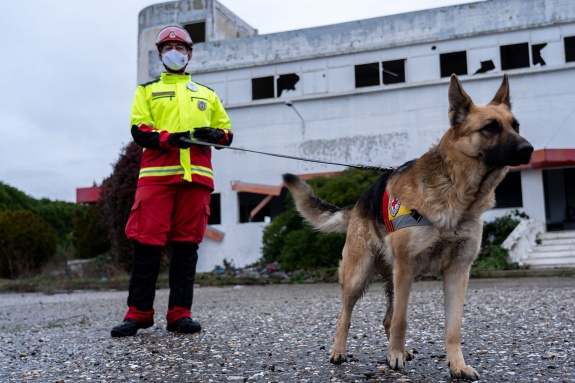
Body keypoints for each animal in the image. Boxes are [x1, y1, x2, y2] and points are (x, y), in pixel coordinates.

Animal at [284, 75, 536, 380]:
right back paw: (340, 351)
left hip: (394, 277)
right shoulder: (405, 267)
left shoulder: (458, 272)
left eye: (516, 126)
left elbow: (453, 327)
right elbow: (402, 319)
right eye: (490, 127)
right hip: (361, 274)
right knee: (348, 314)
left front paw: (456, 365)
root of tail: (359, 201)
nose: (528, 149)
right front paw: (394, 356)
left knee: (387, 317)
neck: (456, 192)